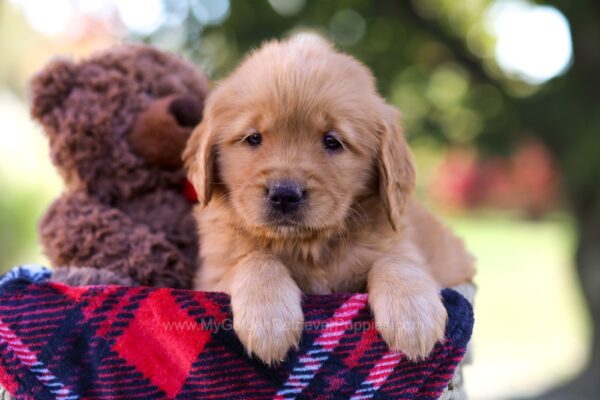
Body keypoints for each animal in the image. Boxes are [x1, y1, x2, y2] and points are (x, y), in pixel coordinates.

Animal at [185, 34, 476, 364]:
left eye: (332, 141)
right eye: (253, 138)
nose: (284, 194)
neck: (307, 247)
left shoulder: (399, 241)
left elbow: (395, 260)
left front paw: (412, 313)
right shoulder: (211, 274)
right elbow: (254, 258)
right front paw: (269, 318)